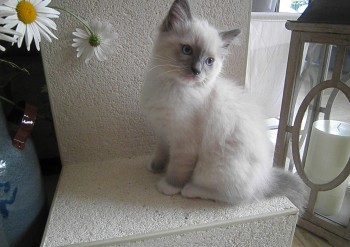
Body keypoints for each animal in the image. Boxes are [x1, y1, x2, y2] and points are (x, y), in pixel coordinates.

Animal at [141, 0, 304, 211]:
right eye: (187, 50)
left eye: (209, 61)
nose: (196, 71)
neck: (171, 86)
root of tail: (266, 180)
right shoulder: (163, 131)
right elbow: (161, 152)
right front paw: (155, 167)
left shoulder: (184, 143)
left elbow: (177, 169)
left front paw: (168, 186)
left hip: (213, 166)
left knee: (234, 197)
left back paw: (190, 189)